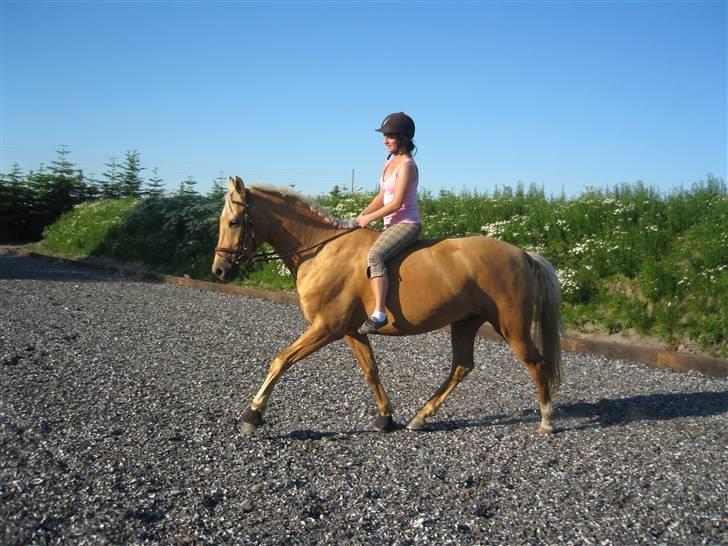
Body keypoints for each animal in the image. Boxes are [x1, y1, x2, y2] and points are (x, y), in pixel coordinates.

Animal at [210, 176, 564, 432]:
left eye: (235, 222)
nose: (219, 270)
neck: (322, 251)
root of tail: (522, 254)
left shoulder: (326, 327)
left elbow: (281, 360)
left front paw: (252, 415)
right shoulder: (351, 331)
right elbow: (371, 370)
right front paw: (385, 417)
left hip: (511, 326)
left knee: (536, 363)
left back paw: (546, 421)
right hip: (465, 322)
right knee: (462, 366)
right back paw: (421, 417)